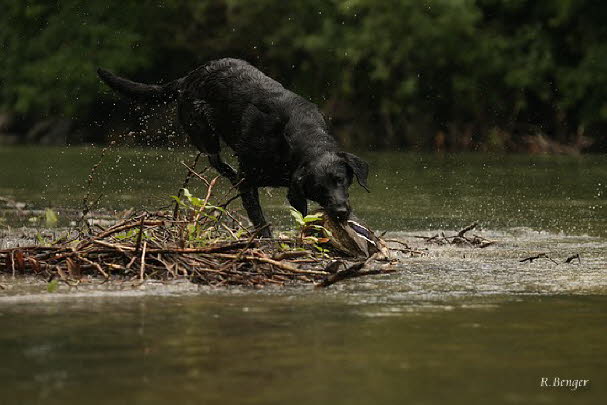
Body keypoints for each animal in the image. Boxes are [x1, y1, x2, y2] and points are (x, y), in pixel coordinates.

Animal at [98, 58, 370, 238]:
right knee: (215, 159)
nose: (341, 211)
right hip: (203, 130)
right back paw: (229, 173)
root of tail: (188, 77)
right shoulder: (249, 181)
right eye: (318, 188)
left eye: (341, 180)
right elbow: (259, 219)